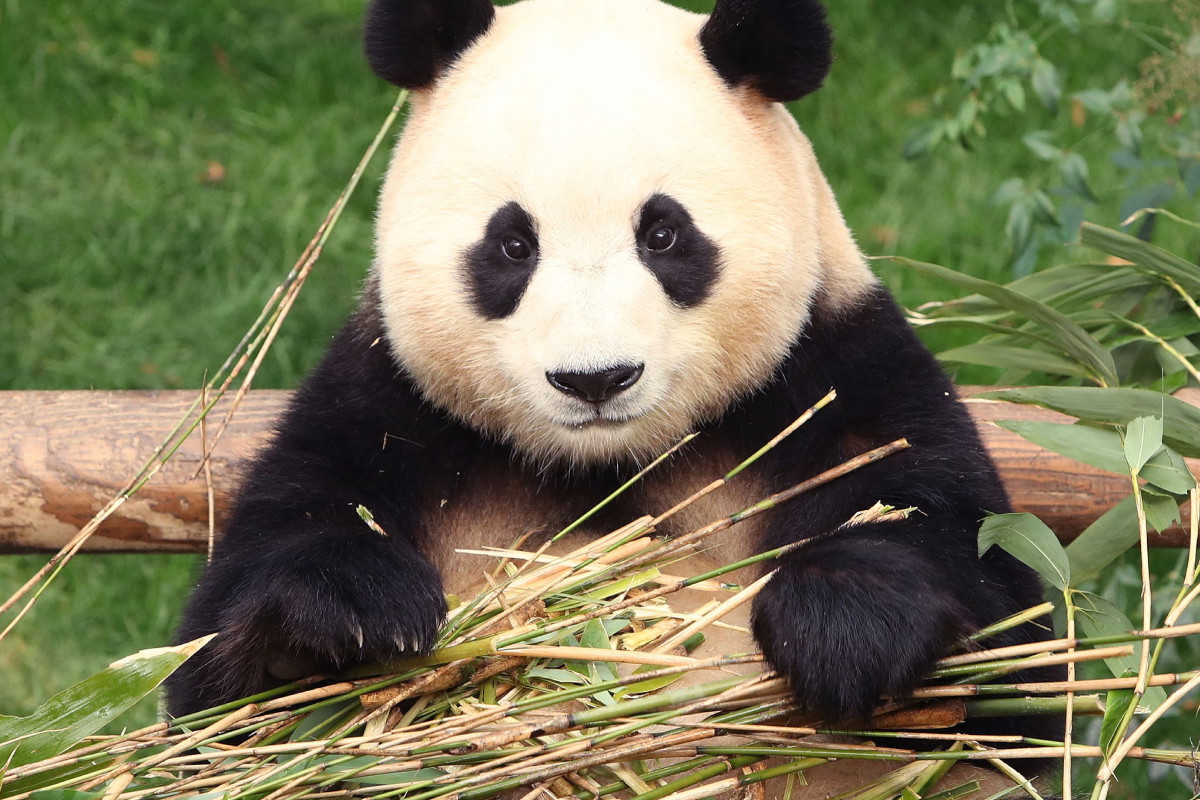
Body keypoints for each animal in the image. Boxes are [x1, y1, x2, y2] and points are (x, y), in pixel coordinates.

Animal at [168, 0, 1062, 766]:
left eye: (663, 235)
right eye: (512, 245)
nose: (594, 379)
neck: (609, 468)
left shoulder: (839, 374)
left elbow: (1004, 631)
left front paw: (843, 623)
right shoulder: (385, 406)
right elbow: (213, 690)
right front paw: (355, 614)